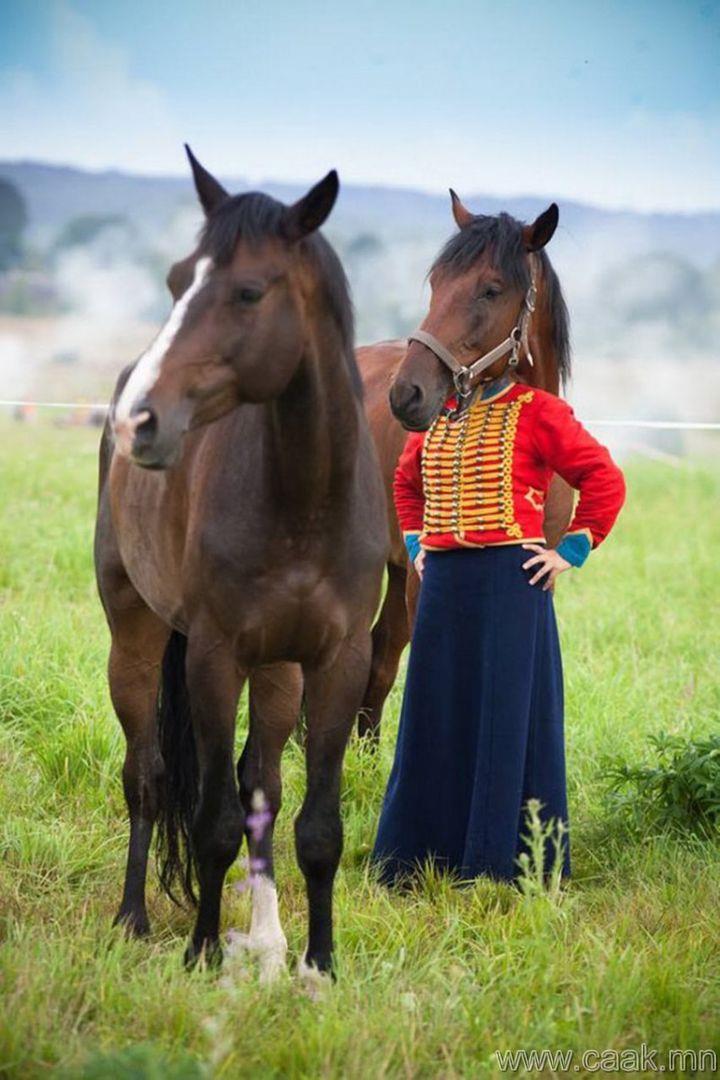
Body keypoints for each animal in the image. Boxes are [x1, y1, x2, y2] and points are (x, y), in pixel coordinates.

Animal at [94, 147, 388, 983]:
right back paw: (133, 917)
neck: (302, 501)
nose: (139, 421)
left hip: (279, 669)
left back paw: (268, 938)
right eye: (175, 280)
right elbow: (213, 821)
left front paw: (318, 962)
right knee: (148, 777)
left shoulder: (338, 662)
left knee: (264, 785)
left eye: (250, 290)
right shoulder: (215, 657)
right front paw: (200, 951)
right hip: (136, 638)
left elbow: (314, 825)